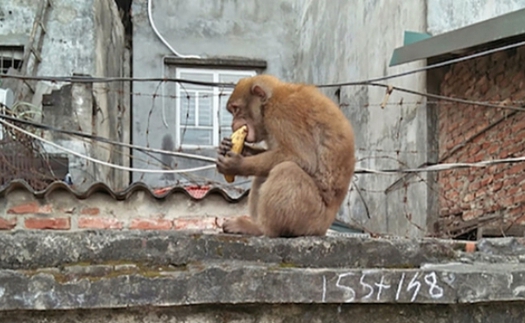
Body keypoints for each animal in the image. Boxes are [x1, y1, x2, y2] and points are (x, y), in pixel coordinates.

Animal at [215, 74, 354, 239]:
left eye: (236, 109)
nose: (232, 124)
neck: (269, 101)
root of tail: (326, 226)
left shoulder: (283, 113)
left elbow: (302, 158)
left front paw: (236, 164)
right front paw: (238, 149)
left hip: (311, 218)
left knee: (287, 170)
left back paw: (261, 229)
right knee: (264, 174)